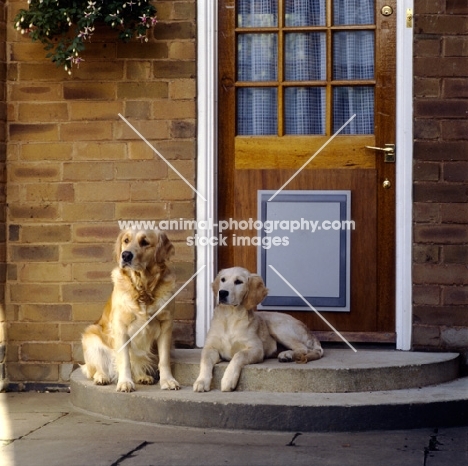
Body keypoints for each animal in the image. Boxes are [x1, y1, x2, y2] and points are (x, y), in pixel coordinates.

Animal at [192, 266, 324, 394]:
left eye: (238, 281)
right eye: (223, 280)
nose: (222, 293)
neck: (230, 317)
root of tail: (310, 332)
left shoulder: (256, 349)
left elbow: (239, 355)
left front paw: (228, 380)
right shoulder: (210, 348)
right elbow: (205, 361)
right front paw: (201, 381)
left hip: (277, 326)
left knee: (303, 348)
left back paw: (287, 354)